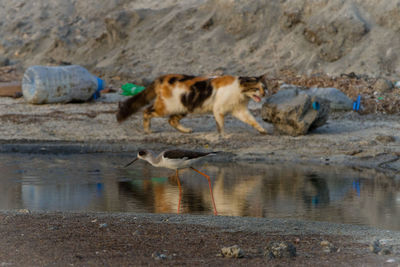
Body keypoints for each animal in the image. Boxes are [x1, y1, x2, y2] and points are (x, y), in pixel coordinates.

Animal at [115, 74, 268, 135]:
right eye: (256, 89)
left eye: (264, 88)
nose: (264, 94)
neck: (239, 92)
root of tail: (162, 77)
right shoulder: (218, 109)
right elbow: (220, 124)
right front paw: (223, 136)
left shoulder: (239, 110)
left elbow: (253, 120)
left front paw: (262, 130)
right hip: (166, 107)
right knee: (146, 111)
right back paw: (147, 130)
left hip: (183, 107)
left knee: (172, 120)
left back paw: (186, 130)